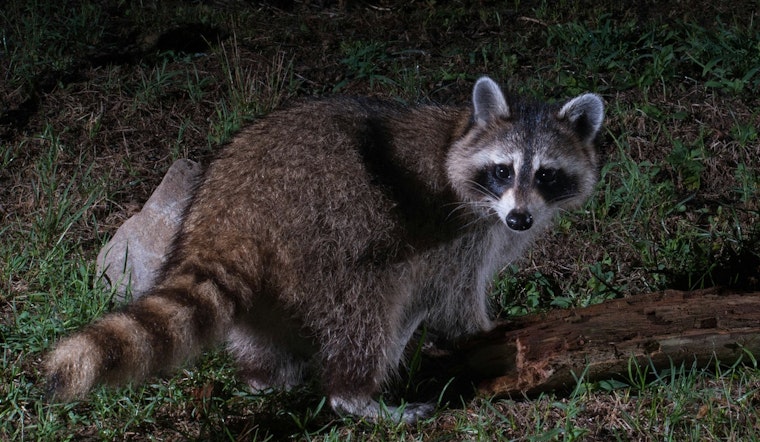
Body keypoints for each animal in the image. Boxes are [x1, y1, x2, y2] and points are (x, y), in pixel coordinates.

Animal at [44, 77, 604, 422]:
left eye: (546, 174)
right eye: (503, 170)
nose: (520, 219)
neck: (459, 133)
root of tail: (230, 214)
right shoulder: (456, 227)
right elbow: (452, 298)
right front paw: (482, 331)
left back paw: (266, 377)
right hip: (330, 230)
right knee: (367, 306)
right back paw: (355, 396)